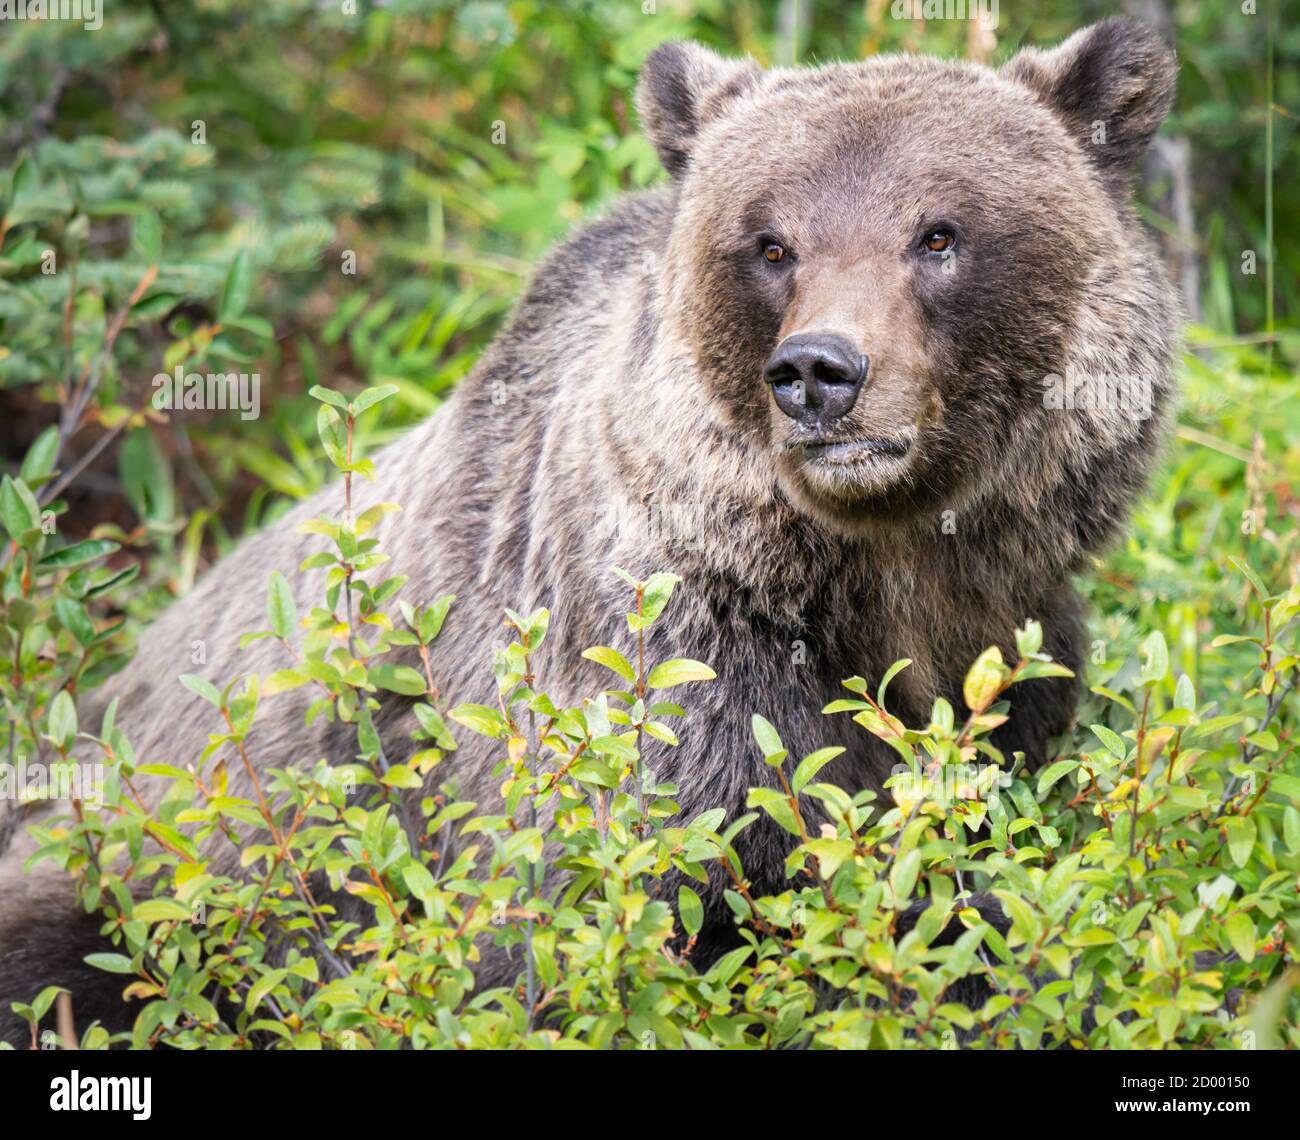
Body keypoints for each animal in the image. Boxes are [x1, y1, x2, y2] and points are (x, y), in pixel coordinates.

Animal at [0, 18, 1179, 1045]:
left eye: (938, 233)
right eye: (771, 244)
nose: (820, 373)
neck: (884, 571)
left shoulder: (1019, 657)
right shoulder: (668, 678)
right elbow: (596, 919)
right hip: (142, 860)